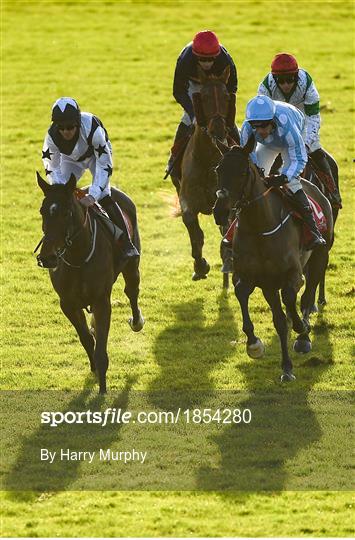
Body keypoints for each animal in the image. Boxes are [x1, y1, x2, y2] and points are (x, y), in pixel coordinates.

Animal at [35, 173, 145, 392]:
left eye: (67, 213)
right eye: (43, 211)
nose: (48, 257)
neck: (78, 256)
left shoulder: (101, 300)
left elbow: (101, 348)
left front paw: (102, 389)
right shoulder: (68, 304)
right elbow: (86, 338)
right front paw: (93, 369)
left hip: (132, 264)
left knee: (132, 291)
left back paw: (137, 321)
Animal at [179, 65, 238, 280]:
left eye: (226, 97)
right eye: (203, 97)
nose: (218, 130)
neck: (207, 160)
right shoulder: (187, 200)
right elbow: (195, 233)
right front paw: (200, 266)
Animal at [214, 141, 334, 382]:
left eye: (242, 172)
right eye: (218, 170)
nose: (220, 211)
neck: (259, 227)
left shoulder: (293, 275)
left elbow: (291, 299)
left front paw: (300, 329)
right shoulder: (254, 277)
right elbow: (244, 295)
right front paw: (254, 345)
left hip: (320, 255)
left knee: (308, 294)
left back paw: (303, 337)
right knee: (281, 316)